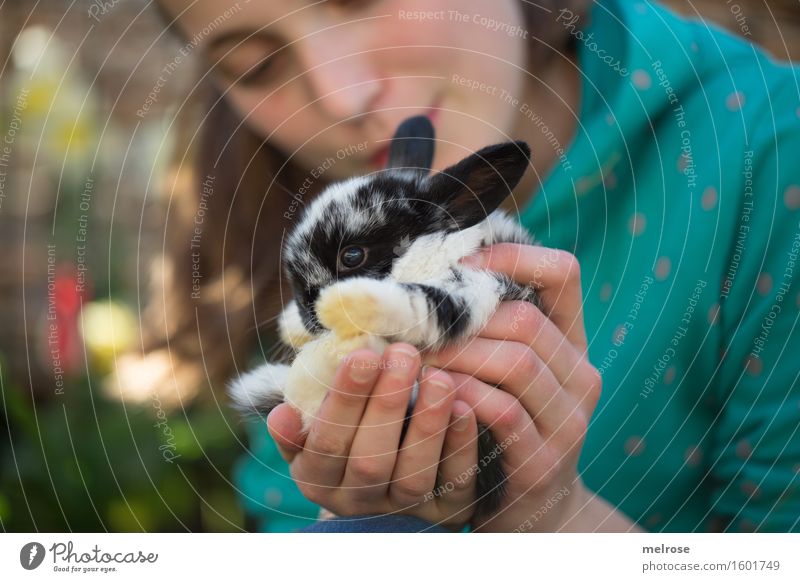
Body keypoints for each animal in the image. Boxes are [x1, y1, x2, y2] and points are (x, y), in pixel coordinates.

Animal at [233, 116, 544, 516]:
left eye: (352, 256)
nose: (308, 307)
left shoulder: (478, 290)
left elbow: (417, 302)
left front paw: (343, 304)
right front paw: (292, 326)